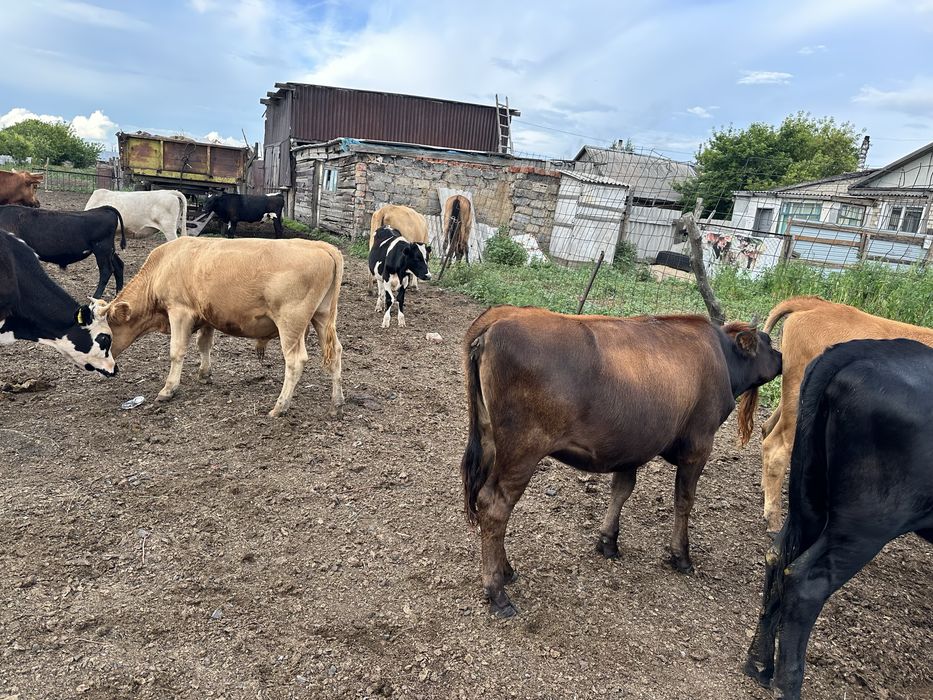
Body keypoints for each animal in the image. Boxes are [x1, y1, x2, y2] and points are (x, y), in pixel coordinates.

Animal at [96, 236, 344, 418]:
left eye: (103, 337)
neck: (165, 264)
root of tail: (320, 246)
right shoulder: (207, 316)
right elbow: (203, 344)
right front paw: (204, 374)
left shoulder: (179, 311)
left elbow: (177, 351)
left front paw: (168, 389)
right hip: (322, 318)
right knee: (336, 353)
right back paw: (336, 403)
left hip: (291, 323)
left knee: (295, 361)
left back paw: (280, 406)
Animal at [460, 306, 782, 617]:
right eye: (767, 342)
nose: (781, 358)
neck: (722, 357)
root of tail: (498, 317)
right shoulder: (698, 445)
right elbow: (684, 501)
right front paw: (681, 555)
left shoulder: (633, 444)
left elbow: (622, 489)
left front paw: (608, 541)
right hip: (522, 450)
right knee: (495, 506)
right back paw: (497, 591)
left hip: (490, 441)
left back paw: (506, 570)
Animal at [744, 338, 933, 700]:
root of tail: (856, 350)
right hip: (865, 525)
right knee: (806, 583)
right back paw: (788, 685)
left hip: (810, 499)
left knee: (777, 557)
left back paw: (759, 664)